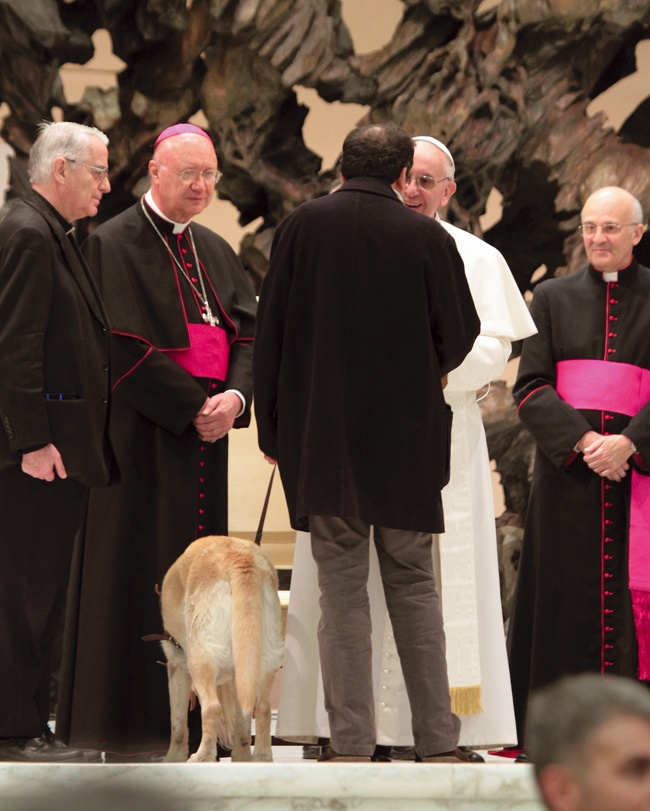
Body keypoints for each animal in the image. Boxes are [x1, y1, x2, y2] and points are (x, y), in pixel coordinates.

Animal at [158, 536, 282, 764]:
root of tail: (240, 559)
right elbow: (242, 726)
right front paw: (242, 758)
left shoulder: (177, 666)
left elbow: (178, 725)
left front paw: (172, 759)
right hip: (265, 659)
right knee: (262, 708)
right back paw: (261, 758)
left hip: (200, 658)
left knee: (211, 708)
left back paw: (202, 756)